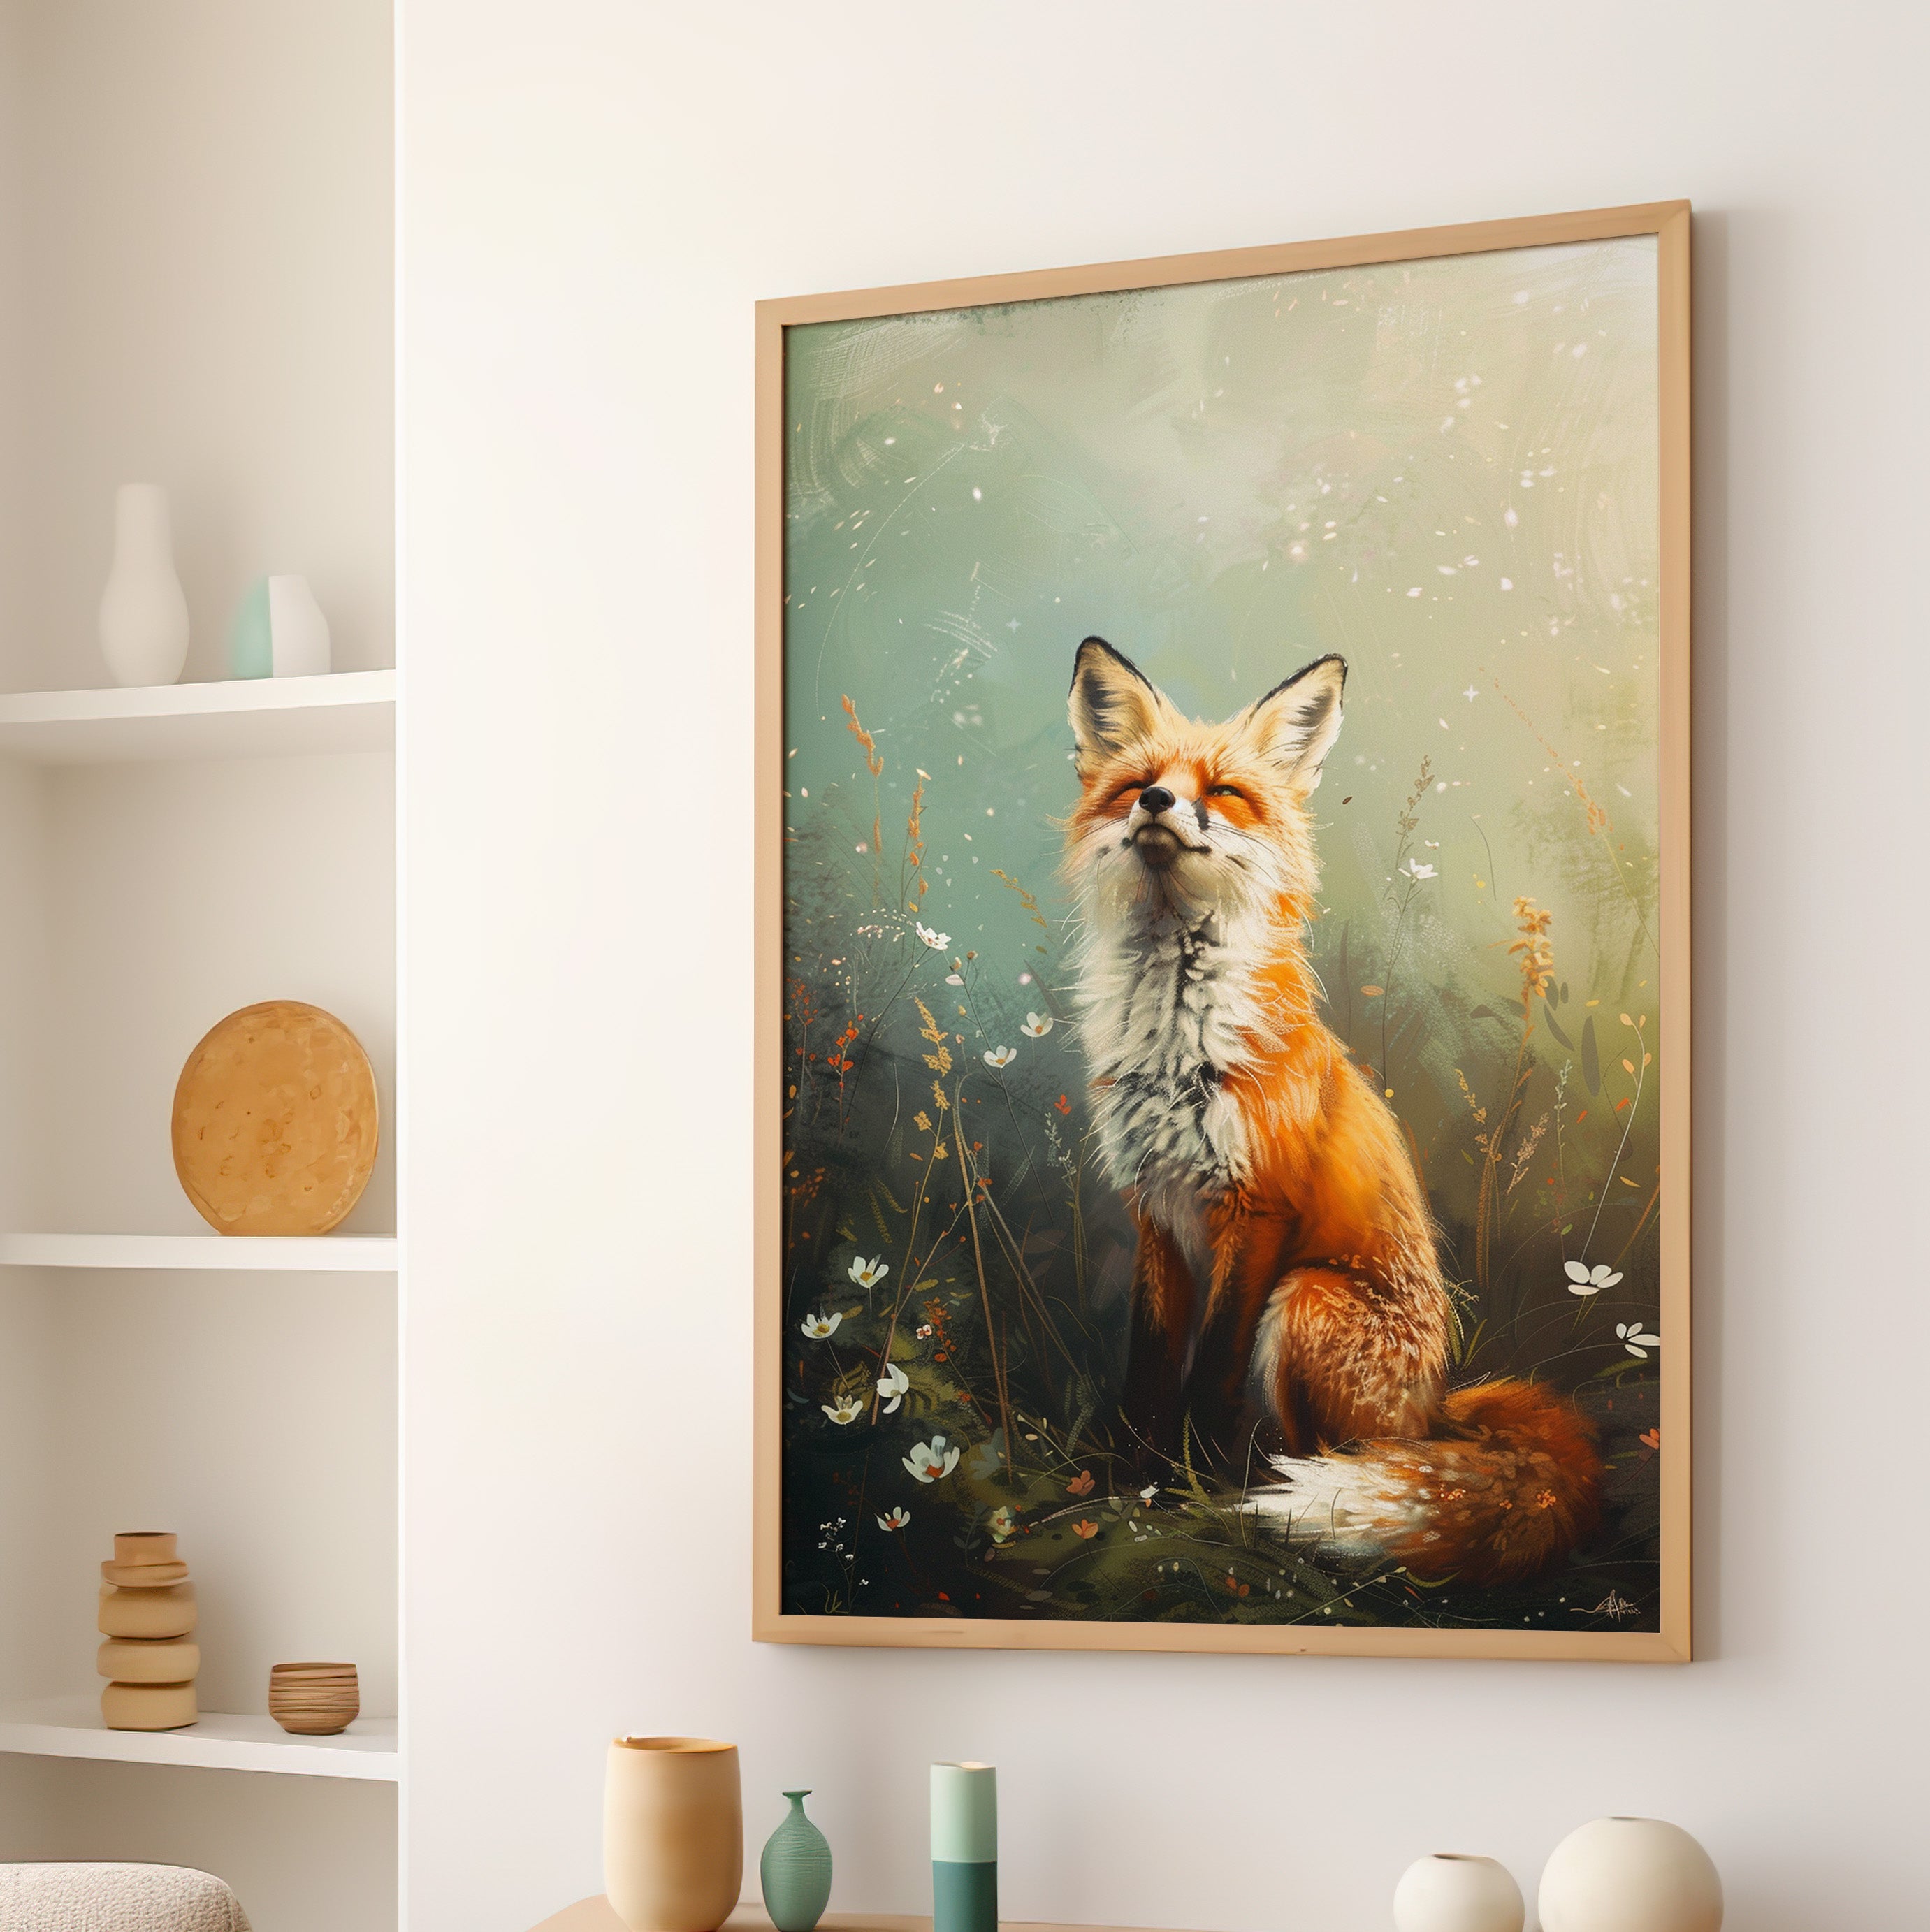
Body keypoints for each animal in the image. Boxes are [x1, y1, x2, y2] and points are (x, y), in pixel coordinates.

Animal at [1061, 635, 1601, 1585]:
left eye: (1222, 791)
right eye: (1138, 784)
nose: (1160, 803)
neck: (1176, 1037)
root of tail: (1436, 1410)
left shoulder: (1257, 1208)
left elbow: (1209, 1375)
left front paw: (1191, 1489)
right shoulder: (1154, 1208)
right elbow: (1148, 1366)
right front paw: (1134, 1479)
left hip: (1306, 1297)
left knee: (1341, 1456)